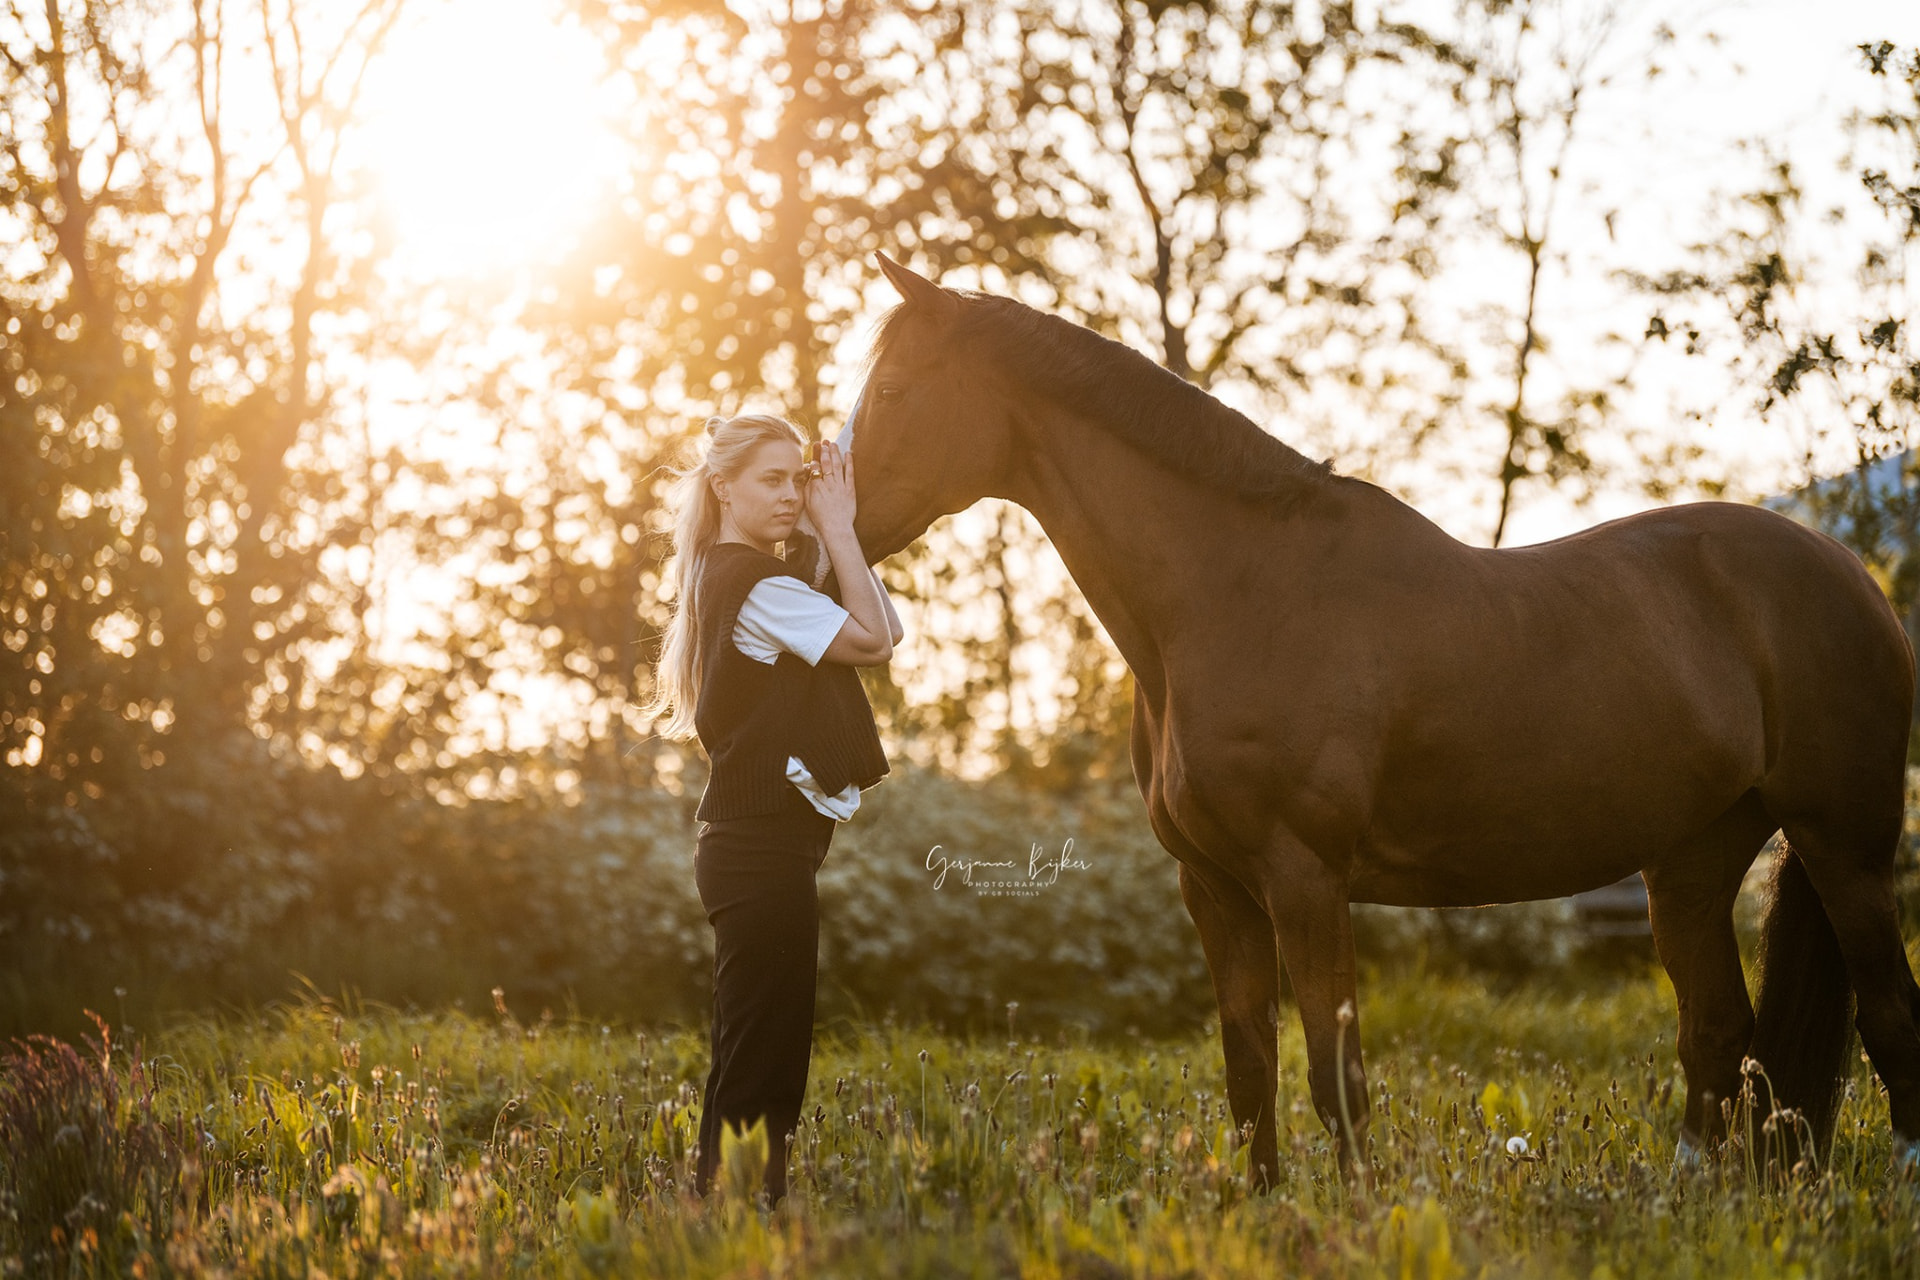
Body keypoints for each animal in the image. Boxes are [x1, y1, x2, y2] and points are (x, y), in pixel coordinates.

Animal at [835, 252, 1920, 1188]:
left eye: (893, 394)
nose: (822, 542)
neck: (1236, 594)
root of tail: (1849, 573)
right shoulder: (1216, 889)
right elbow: (1251, 1077)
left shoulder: (1306, 878)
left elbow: (1336, 1079)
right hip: (1692, 861)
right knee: (1719, 1036)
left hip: (1843, 847)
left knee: (1886, 1010)